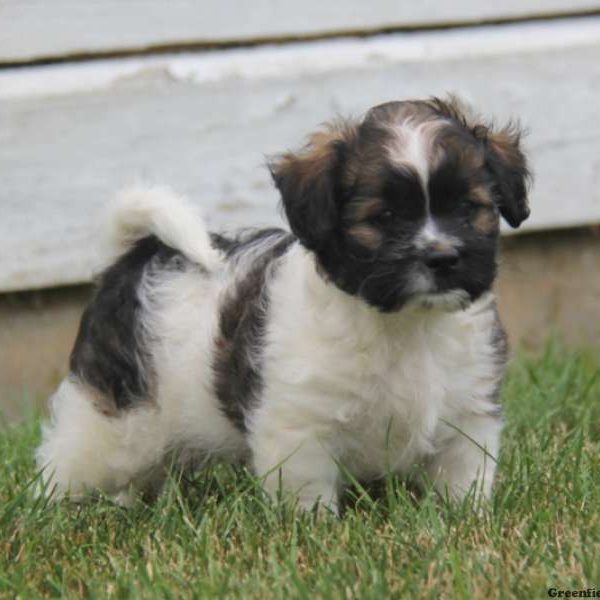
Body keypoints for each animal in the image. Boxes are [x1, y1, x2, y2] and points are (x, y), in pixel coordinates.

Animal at [35, 96, 528, 512]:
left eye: (468, 207)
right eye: (385, 217)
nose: (443, 257)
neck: (406, 324)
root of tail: (133, 256)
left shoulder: (468, 415)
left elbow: (464, 480)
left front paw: (465, 520)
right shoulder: (299, 428)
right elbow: (308, 495)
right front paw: (317, 532)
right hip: (114, 421)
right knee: (69, 461)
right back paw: (52, 513)